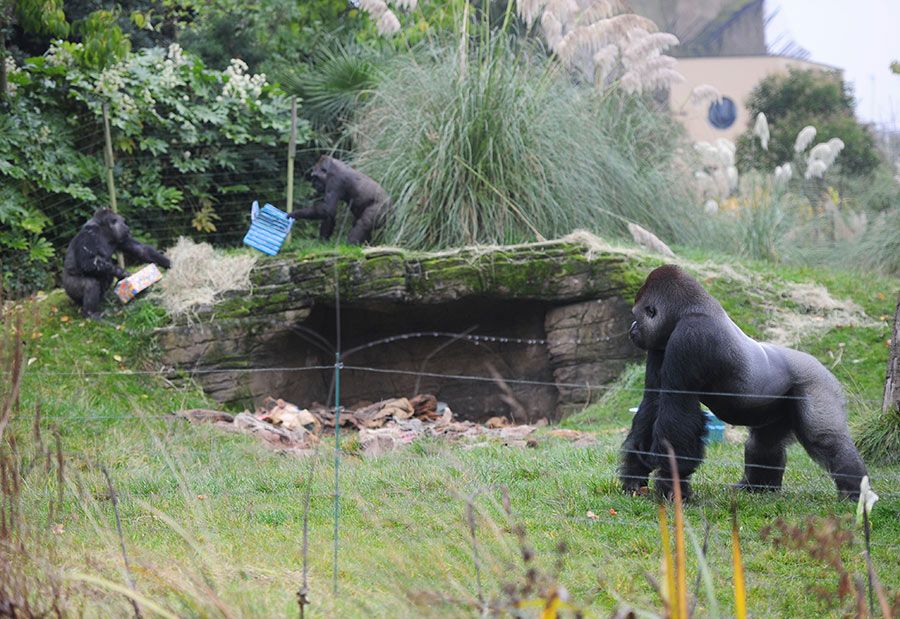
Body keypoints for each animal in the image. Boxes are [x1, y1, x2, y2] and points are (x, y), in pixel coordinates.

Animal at [624, 264, 868, 502]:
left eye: (637, 315)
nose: (632, 327)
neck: (687, 311)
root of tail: (822, 366)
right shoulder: (658, 345)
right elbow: (652, 402)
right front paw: (635, 474)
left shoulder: (689, 337)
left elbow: (677, 411)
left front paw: (671, 486)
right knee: (763, 443)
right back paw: (758, 487)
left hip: (818, 384)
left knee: (826, 441)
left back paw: (855, 492)